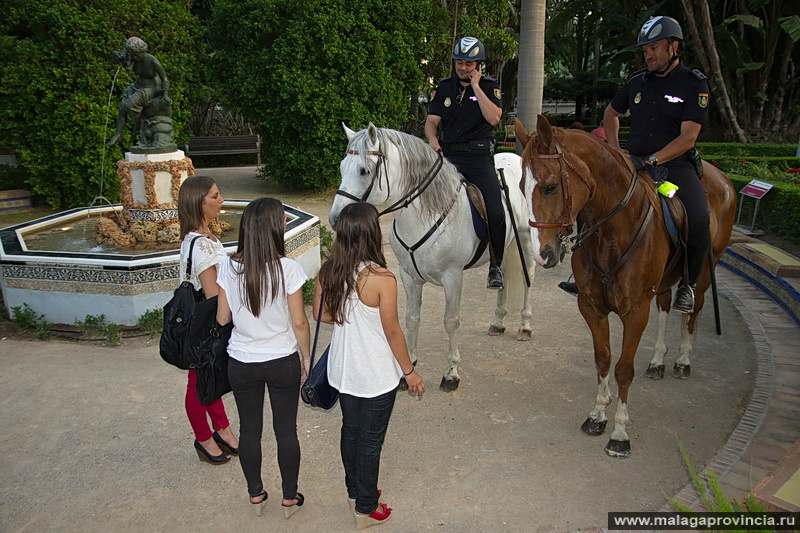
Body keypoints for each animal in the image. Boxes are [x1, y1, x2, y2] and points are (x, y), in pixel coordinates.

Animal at [332, 124, 536, 390]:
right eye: (341, 167)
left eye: (364, 170)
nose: (335, 220)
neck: (425, 216)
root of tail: (514, 156)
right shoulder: (409, 276)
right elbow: (411, 319)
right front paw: (409, 367)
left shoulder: (453, 277)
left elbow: (451, 321)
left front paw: (451, 373)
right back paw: (498, 322)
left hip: (525, 237)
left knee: (527, 277)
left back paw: (525, 325)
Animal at [516, 114, 736, 456]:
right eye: (521, 189)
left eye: (551, 187)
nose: (543, 254)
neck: (612, 231)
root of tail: (721, 177)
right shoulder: (591, 306)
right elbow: (603, 358)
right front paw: (597, 414)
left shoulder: (635, 311)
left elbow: (623, 368)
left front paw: (620, 432)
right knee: (665, 305)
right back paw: (658, 360)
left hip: (701, 274)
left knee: (693, 308)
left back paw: (683, 359)